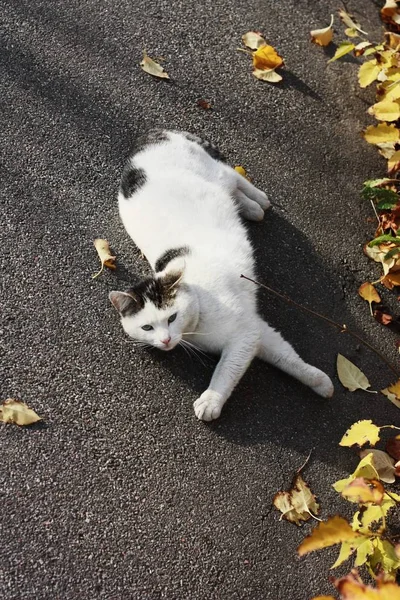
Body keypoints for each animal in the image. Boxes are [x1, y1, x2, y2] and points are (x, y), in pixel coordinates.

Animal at [109, 130, 334, 422]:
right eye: (147, 327)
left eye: (172, 317)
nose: (166, 340)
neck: (197, 320)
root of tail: (153, 136)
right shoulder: (257, 331)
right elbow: (285, 357)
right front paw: (320, 381)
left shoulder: (244, 334)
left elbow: (229, 369)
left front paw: (210, 400)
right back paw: (251, 208)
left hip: (217, 173)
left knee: (235, 177)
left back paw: (257, 200)